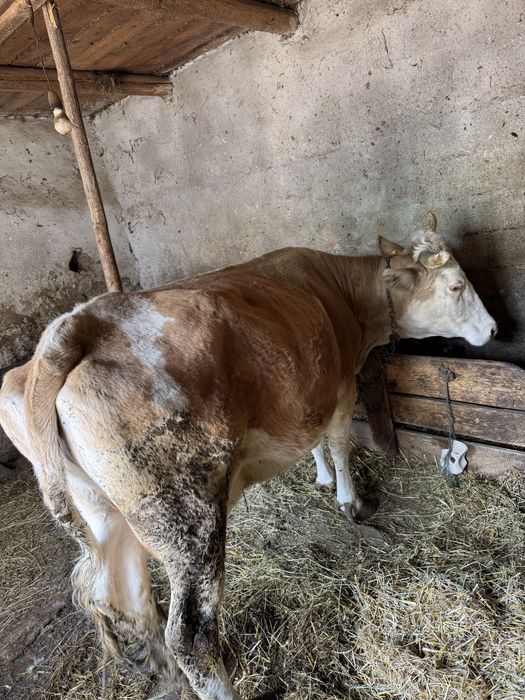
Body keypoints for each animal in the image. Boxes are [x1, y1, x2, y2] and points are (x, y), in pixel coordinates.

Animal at [0, 214, 496, 700]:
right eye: (457, 285)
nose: (492, 328)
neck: (344, 297)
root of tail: (78, 324)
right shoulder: (339, 386)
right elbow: (338, 444)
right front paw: (349, 501)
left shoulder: (307, 396)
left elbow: (314, 441)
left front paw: (320, 478)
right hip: (187, 520)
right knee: (191, 635)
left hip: (104, 513)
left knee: (126, 598)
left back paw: (168, 677)